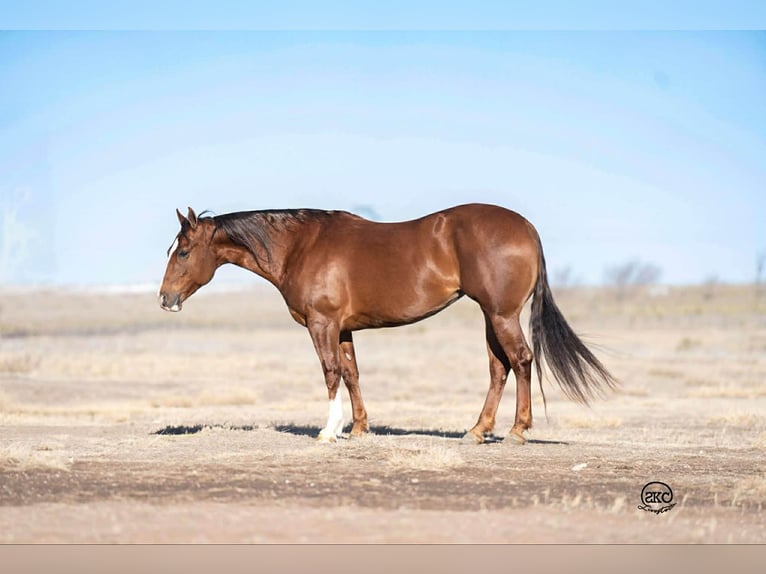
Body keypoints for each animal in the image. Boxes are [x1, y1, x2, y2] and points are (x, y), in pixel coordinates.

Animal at [159, 204, 616, 444]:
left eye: (183, 252)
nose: (165, 298)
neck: (301, 246)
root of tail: (526, 226)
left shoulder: (322, 324)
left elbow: (330, 373)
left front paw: (329, 431)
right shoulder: (343, 329)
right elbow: (351, 373)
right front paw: (359, 428)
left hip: (502, 314)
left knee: (520, 361)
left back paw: (517, 431)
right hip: (492, 316)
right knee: (498, 368)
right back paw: (477, 430)